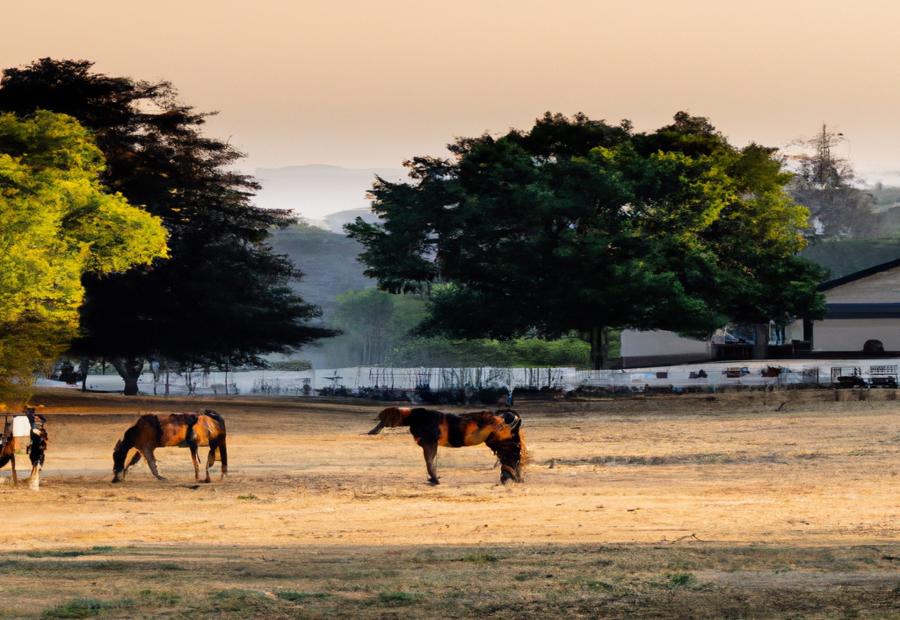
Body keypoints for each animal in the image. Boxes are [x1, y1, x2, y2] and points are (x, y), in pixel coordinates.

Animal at [366, 404, 524, 486]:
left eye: (383, 419)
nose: (372, 430)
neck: (414, 418)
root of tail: (504, 417)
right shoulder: (429, 445)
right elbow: (431, 462)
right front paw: (433, 479)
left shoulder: (429, 443)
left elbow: (429, 463)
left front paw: (434, 479)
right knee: (511, 458)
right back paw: (512, 478)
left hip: (504, 444)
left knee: (511, 457)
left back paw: (511, 478)